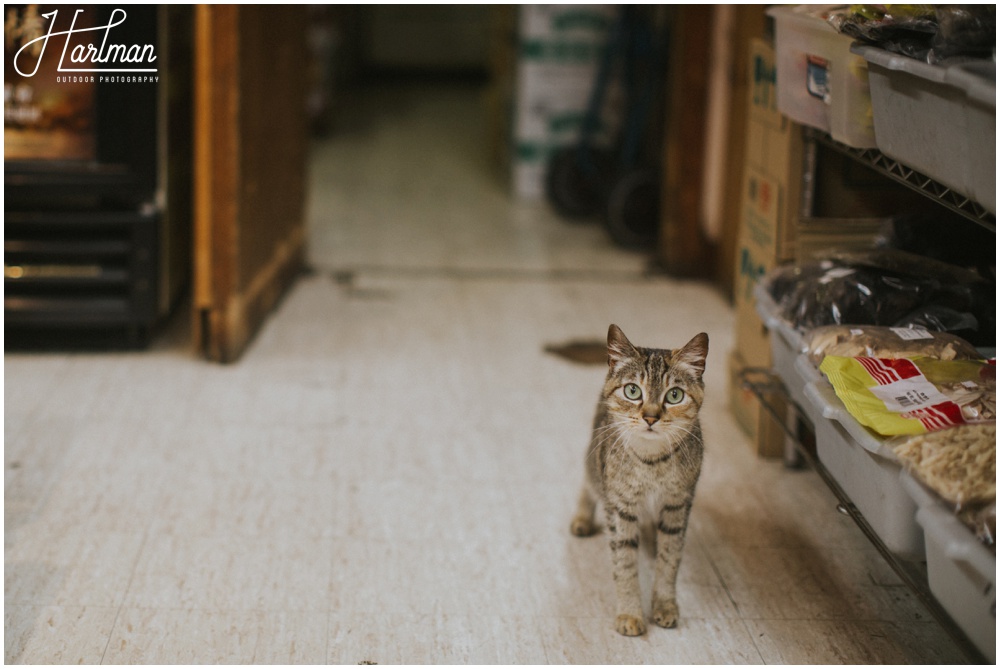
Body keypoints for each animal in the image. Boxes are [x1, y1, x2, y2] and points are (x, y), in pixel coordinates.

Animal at [572, 324, 712, 636]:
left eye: (674, 395)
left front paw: (664, 605)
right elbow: (624, 564)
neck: (652, 463)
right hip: (594, 460)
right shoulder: (619, 507)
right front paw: (630, 613)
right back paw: (582, 519)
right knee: (588, 482)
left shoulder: (678, 505)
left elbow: (669, 559)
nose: (650, 417)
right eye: (633, 390)